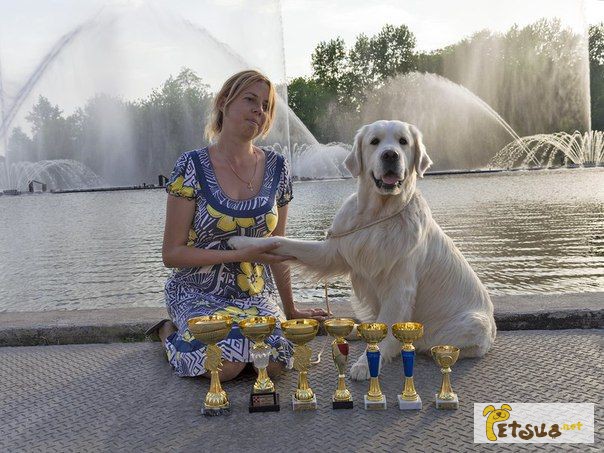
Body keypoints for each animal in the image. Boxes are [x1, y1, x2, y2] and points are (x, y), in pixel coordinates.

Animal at [229, 120, 498, 378]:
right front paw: (240, 243)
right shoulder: (331, 252)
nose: (390, 155)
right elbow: (281, 241)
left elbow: (388, 327)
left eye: (403, 141)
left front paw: (366, 365)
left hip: (474, 323)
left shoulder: (399, 288)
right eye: (374, 141)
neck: (377, 215)